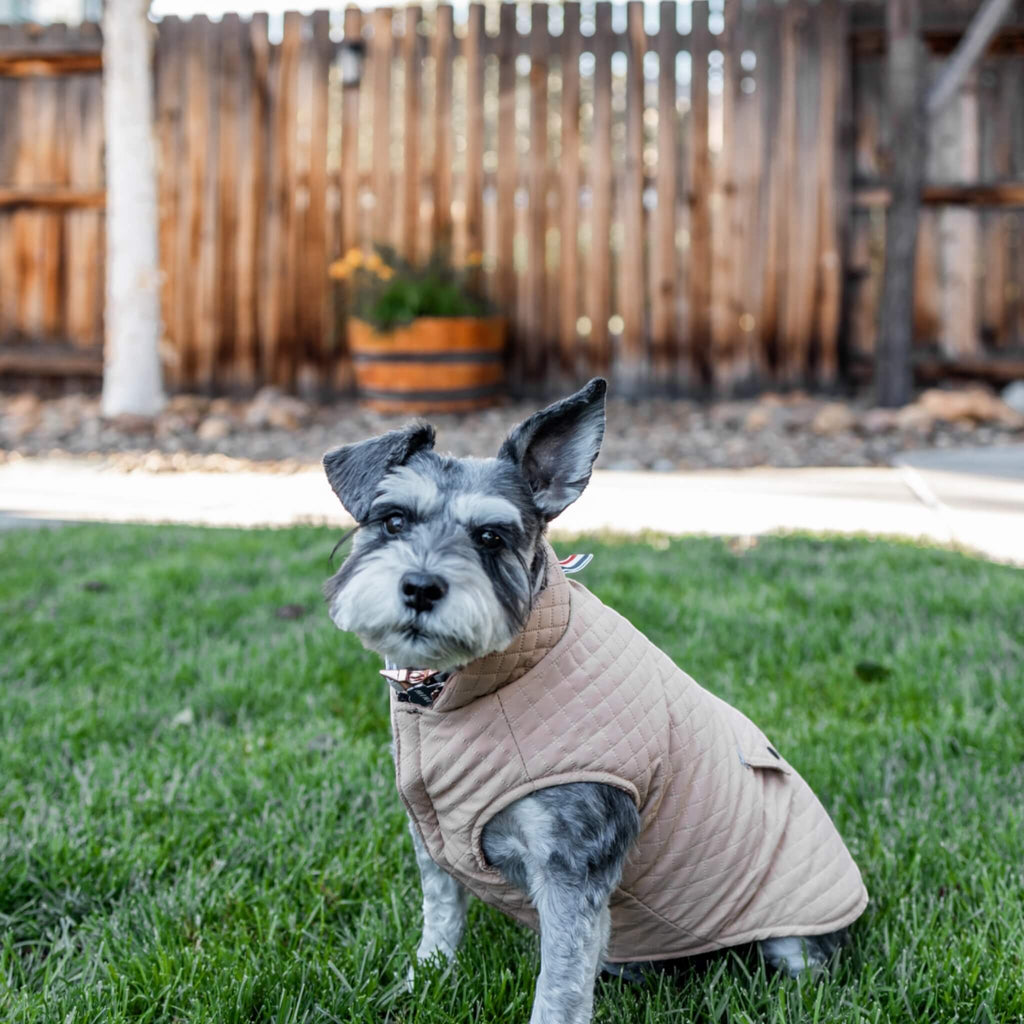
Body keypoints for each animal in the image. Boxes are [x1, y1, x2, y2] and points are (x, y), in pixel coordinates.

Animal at [319, 380, 864, 1019]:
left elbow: (559, 982)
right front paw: (423, 981)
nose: (421, 587)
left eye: (490, 537)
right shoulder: (434, 839)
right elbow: (441, 917)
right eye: (393, 519)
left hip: (792, 941)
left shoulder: (572, 864)